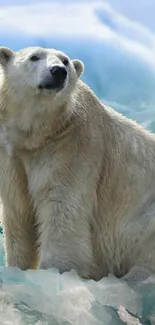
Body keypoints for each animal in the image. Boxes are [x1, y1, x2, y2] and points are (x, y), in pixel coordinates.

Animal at [0, 45, 155, 278]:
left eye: (65, 61)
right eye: (34, 57)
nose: (58, 71)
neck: (39, 135)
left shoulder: (73, 147)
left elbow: (62, 209)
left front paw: (55, 271)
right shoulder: (12, 156)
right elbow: (19, 213)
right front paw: (17, 268)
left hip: (144, 220)